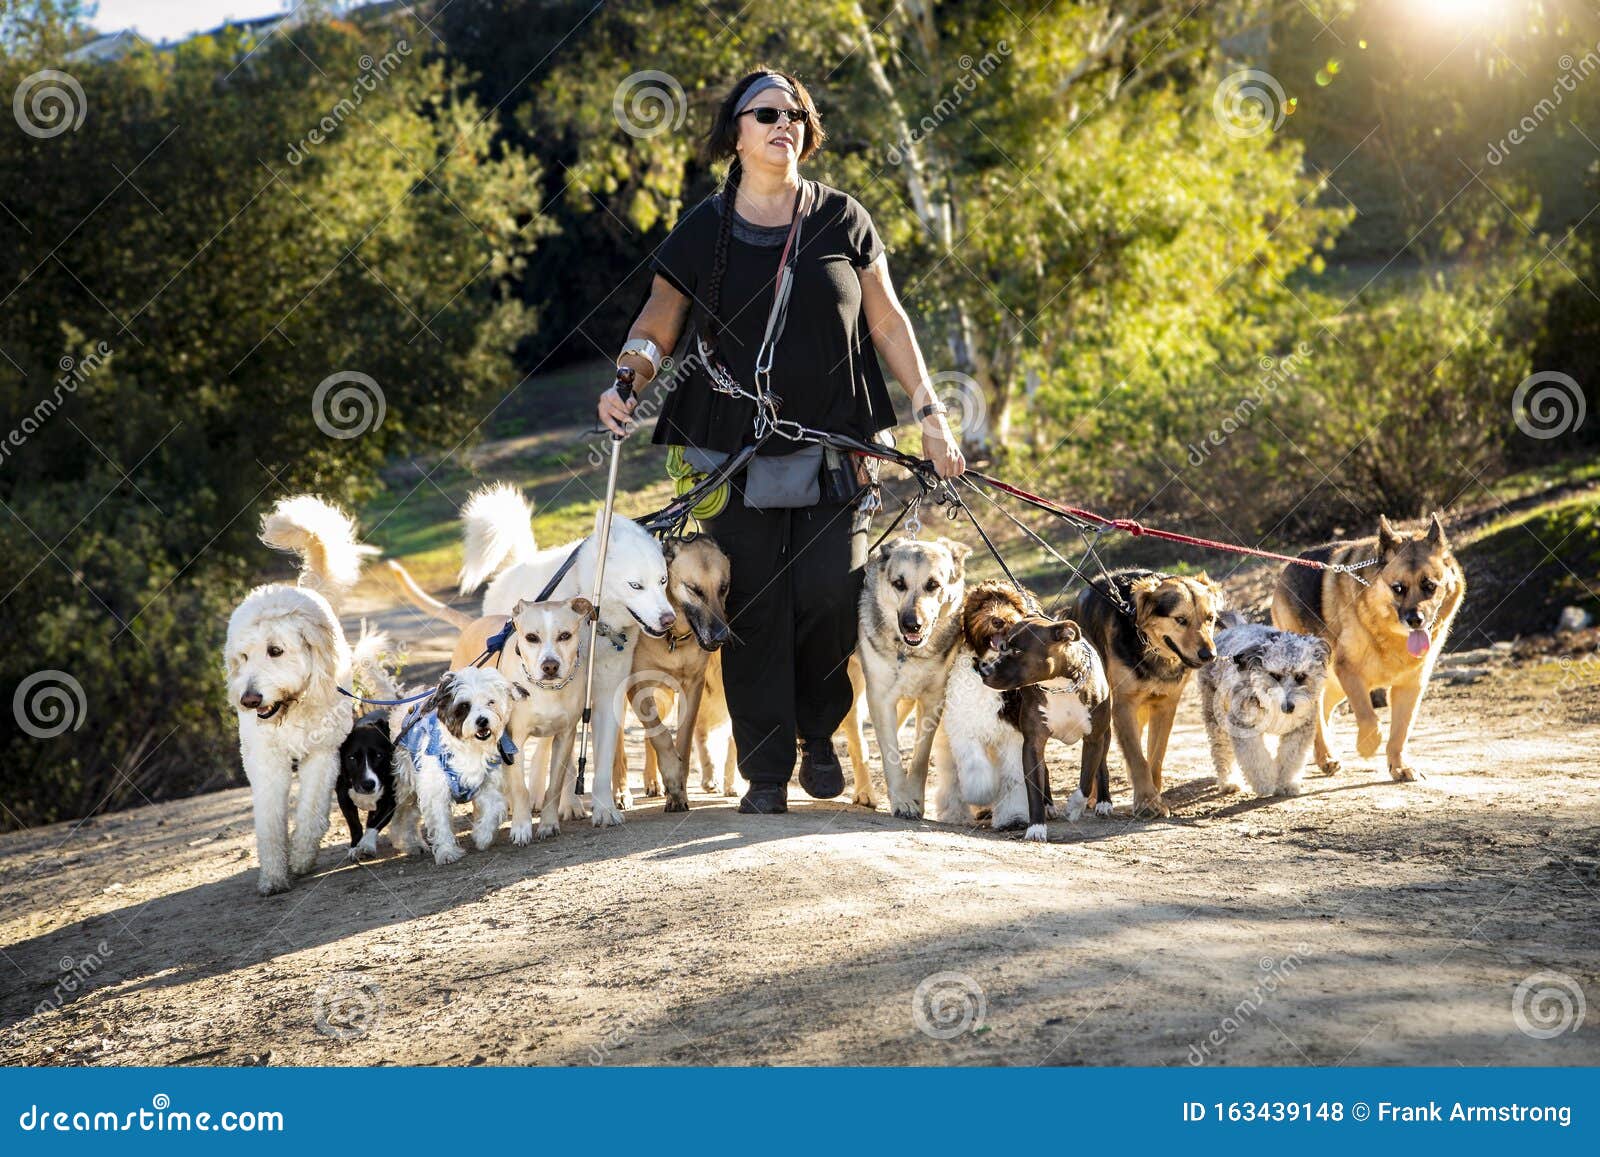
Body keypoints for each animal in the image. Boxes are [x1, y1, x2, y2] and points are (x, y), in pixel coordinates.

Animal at [225, 496, 377, 896]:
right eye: (243, 657)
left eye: (275, 651)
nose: (248, 700)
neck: (291, 707)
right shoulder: (266, 761)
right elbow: (269, 822)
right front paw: (275, 875)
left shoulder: (324, 756)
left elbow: (310, 812)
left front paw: (302, 858)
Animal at [387, 665, 518, 864]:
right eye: (464, 706)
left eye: (491, 702)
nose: (482, 721)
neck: (471, 749)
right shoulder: (436, 791)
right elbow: (440, 821)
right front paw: (447, 851)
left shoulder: (488, 785)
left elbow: (495, 807)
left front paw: (482, 836)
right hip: (406, 784)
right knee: (403, 813)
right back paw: (409, 843)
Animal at [1196, 614, 1331, 796]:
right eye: (1274, 675)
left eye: (1301, 676)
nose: (1288, 707)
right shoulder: (1243, 726)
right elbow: (1255, 758)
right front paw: (1265, 782)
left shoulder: (1300, 729)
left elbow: (1292, 756)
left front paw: (1286, 783)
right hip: (1216, 718)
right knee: (1222, 750)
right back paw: (1230, 782)